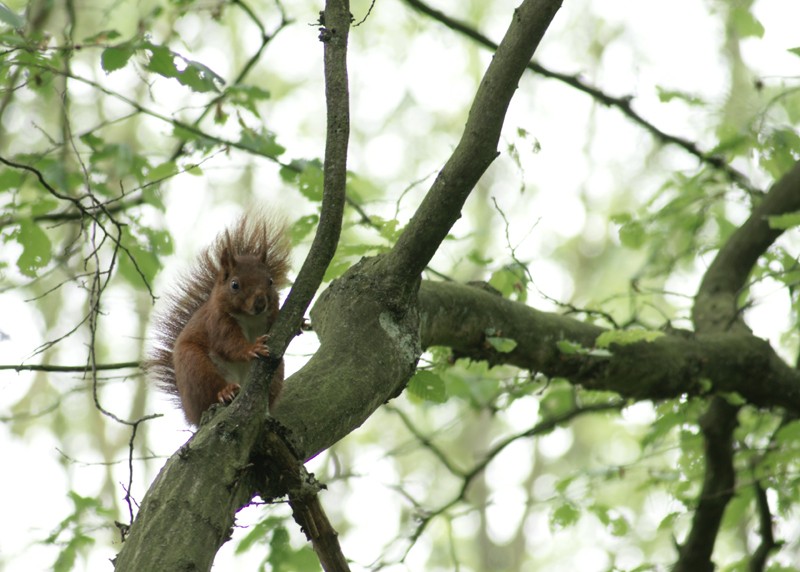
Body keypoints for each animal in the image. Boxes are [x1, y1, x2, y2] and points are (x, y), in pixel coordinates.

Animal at [147, 212, 290, 426]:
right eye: (234, 285)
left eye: (270, 281)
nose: (260, 303)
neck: (250, 318)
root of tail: (191, 414)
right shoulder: (217, 322)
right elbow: (229, 344)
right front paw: (252, 348)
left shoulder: (273, 316)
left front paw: (301, 324)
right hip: (195, 368)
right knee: (211, 389)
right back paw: (226, 391)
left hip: (277, 371)